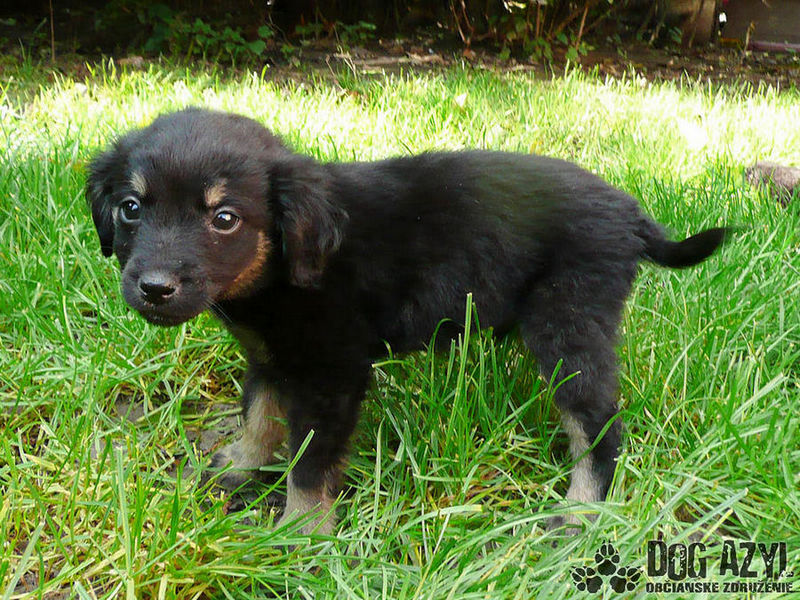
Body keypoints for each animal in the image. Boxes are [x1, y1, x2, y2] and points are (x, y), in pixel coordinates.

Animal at [87, 108, 726, 535]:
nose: (154, 288)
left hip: (567, 324)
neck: (279, 267)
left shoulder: (333, 375)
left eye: (224, 218)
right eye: (131, 208)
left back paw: (580, 510)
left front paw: (300, 533)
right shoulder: (270, 356)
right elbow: (261, 416)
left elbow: (310, 464)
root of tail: (633, 215)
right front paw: (244, 466)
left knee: (597, 424)